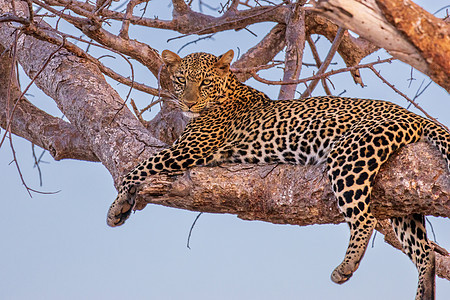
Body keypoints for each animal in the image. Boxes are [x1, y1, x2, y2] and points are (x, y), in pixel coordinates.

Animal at [108, 49, 450, 300]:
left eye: (204, 82)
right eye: (180, 79)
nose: (188, 102)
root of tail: (413, 115)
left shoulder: (189, 149)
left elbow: (137, 168)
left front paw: (117, 208)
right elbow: (140, 166)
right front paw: (122, 205)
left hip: (349, 157)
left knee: (363, 219)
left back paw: (345, 267)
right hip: (402, 201)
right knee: (424, 251)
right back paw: (424, 292)